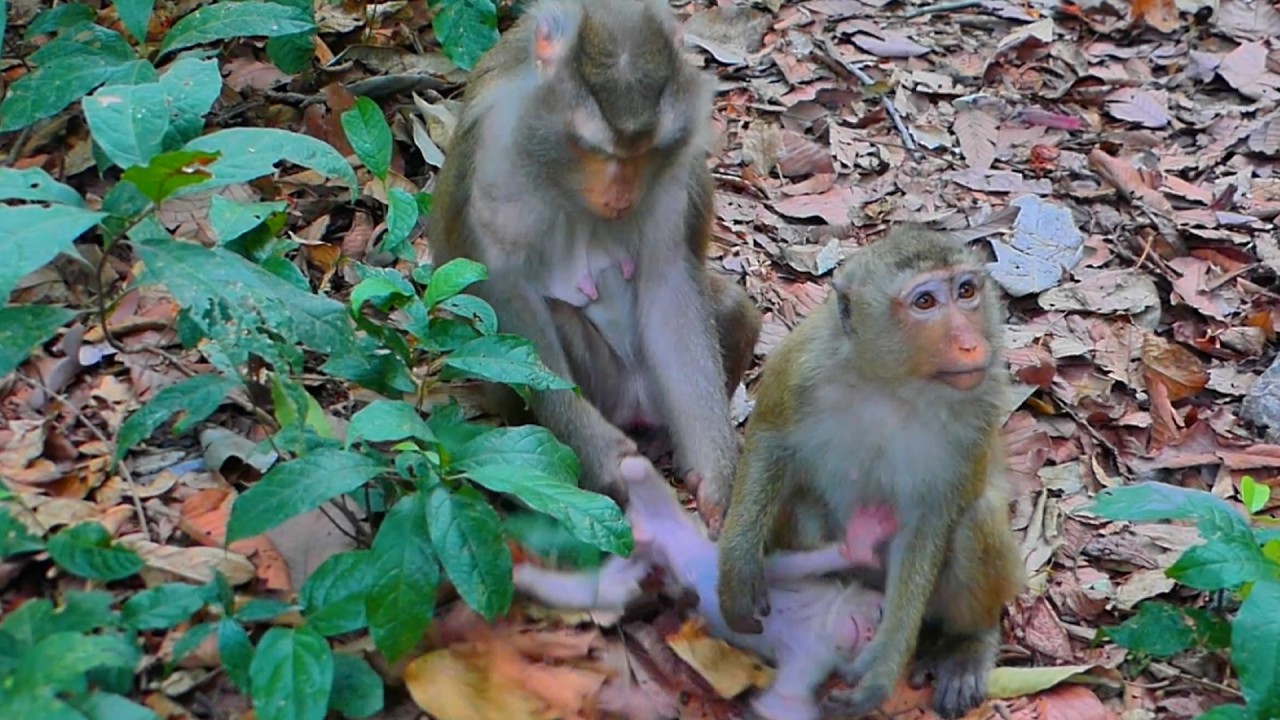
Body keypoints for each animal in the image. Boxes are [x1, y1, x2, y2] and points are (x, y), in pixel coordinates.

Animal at [427, 0, 761, 529]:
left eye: (645, 152)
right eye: (595, 149)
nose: (620, 195)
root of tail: (636, 404)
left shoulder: (678, 164)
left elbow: (669, 283)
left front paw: (716, 473)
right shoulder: (492, 153)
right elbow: (505, 293)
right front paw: (604, 460)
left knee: (730, 306)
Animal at [512, 457, 896, 720]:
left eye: (871, 643)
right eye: (878, 613)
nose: (868, 631)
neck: (821, 622)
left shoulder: (814, 657)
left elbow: (781, 705)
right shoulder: (787, 583)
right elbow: (780, 567)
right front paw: (859, 545)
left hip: (631, 567)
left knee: (597, 591)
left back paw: (525, 577)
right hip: (663, 509)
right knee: (634, 467)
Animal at [715, 226, 1024, 719]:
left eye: (966, 291)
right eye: (924, 302)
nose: (970, 344)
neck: (893, 384)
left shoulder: (981, 406)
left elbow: (929, 523)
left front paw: (883, 667)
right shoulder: (804, 359)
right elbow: (769, 438)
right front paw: (739, 567)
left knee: (974, 520)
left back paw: (969, 642)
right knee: (803, 507)